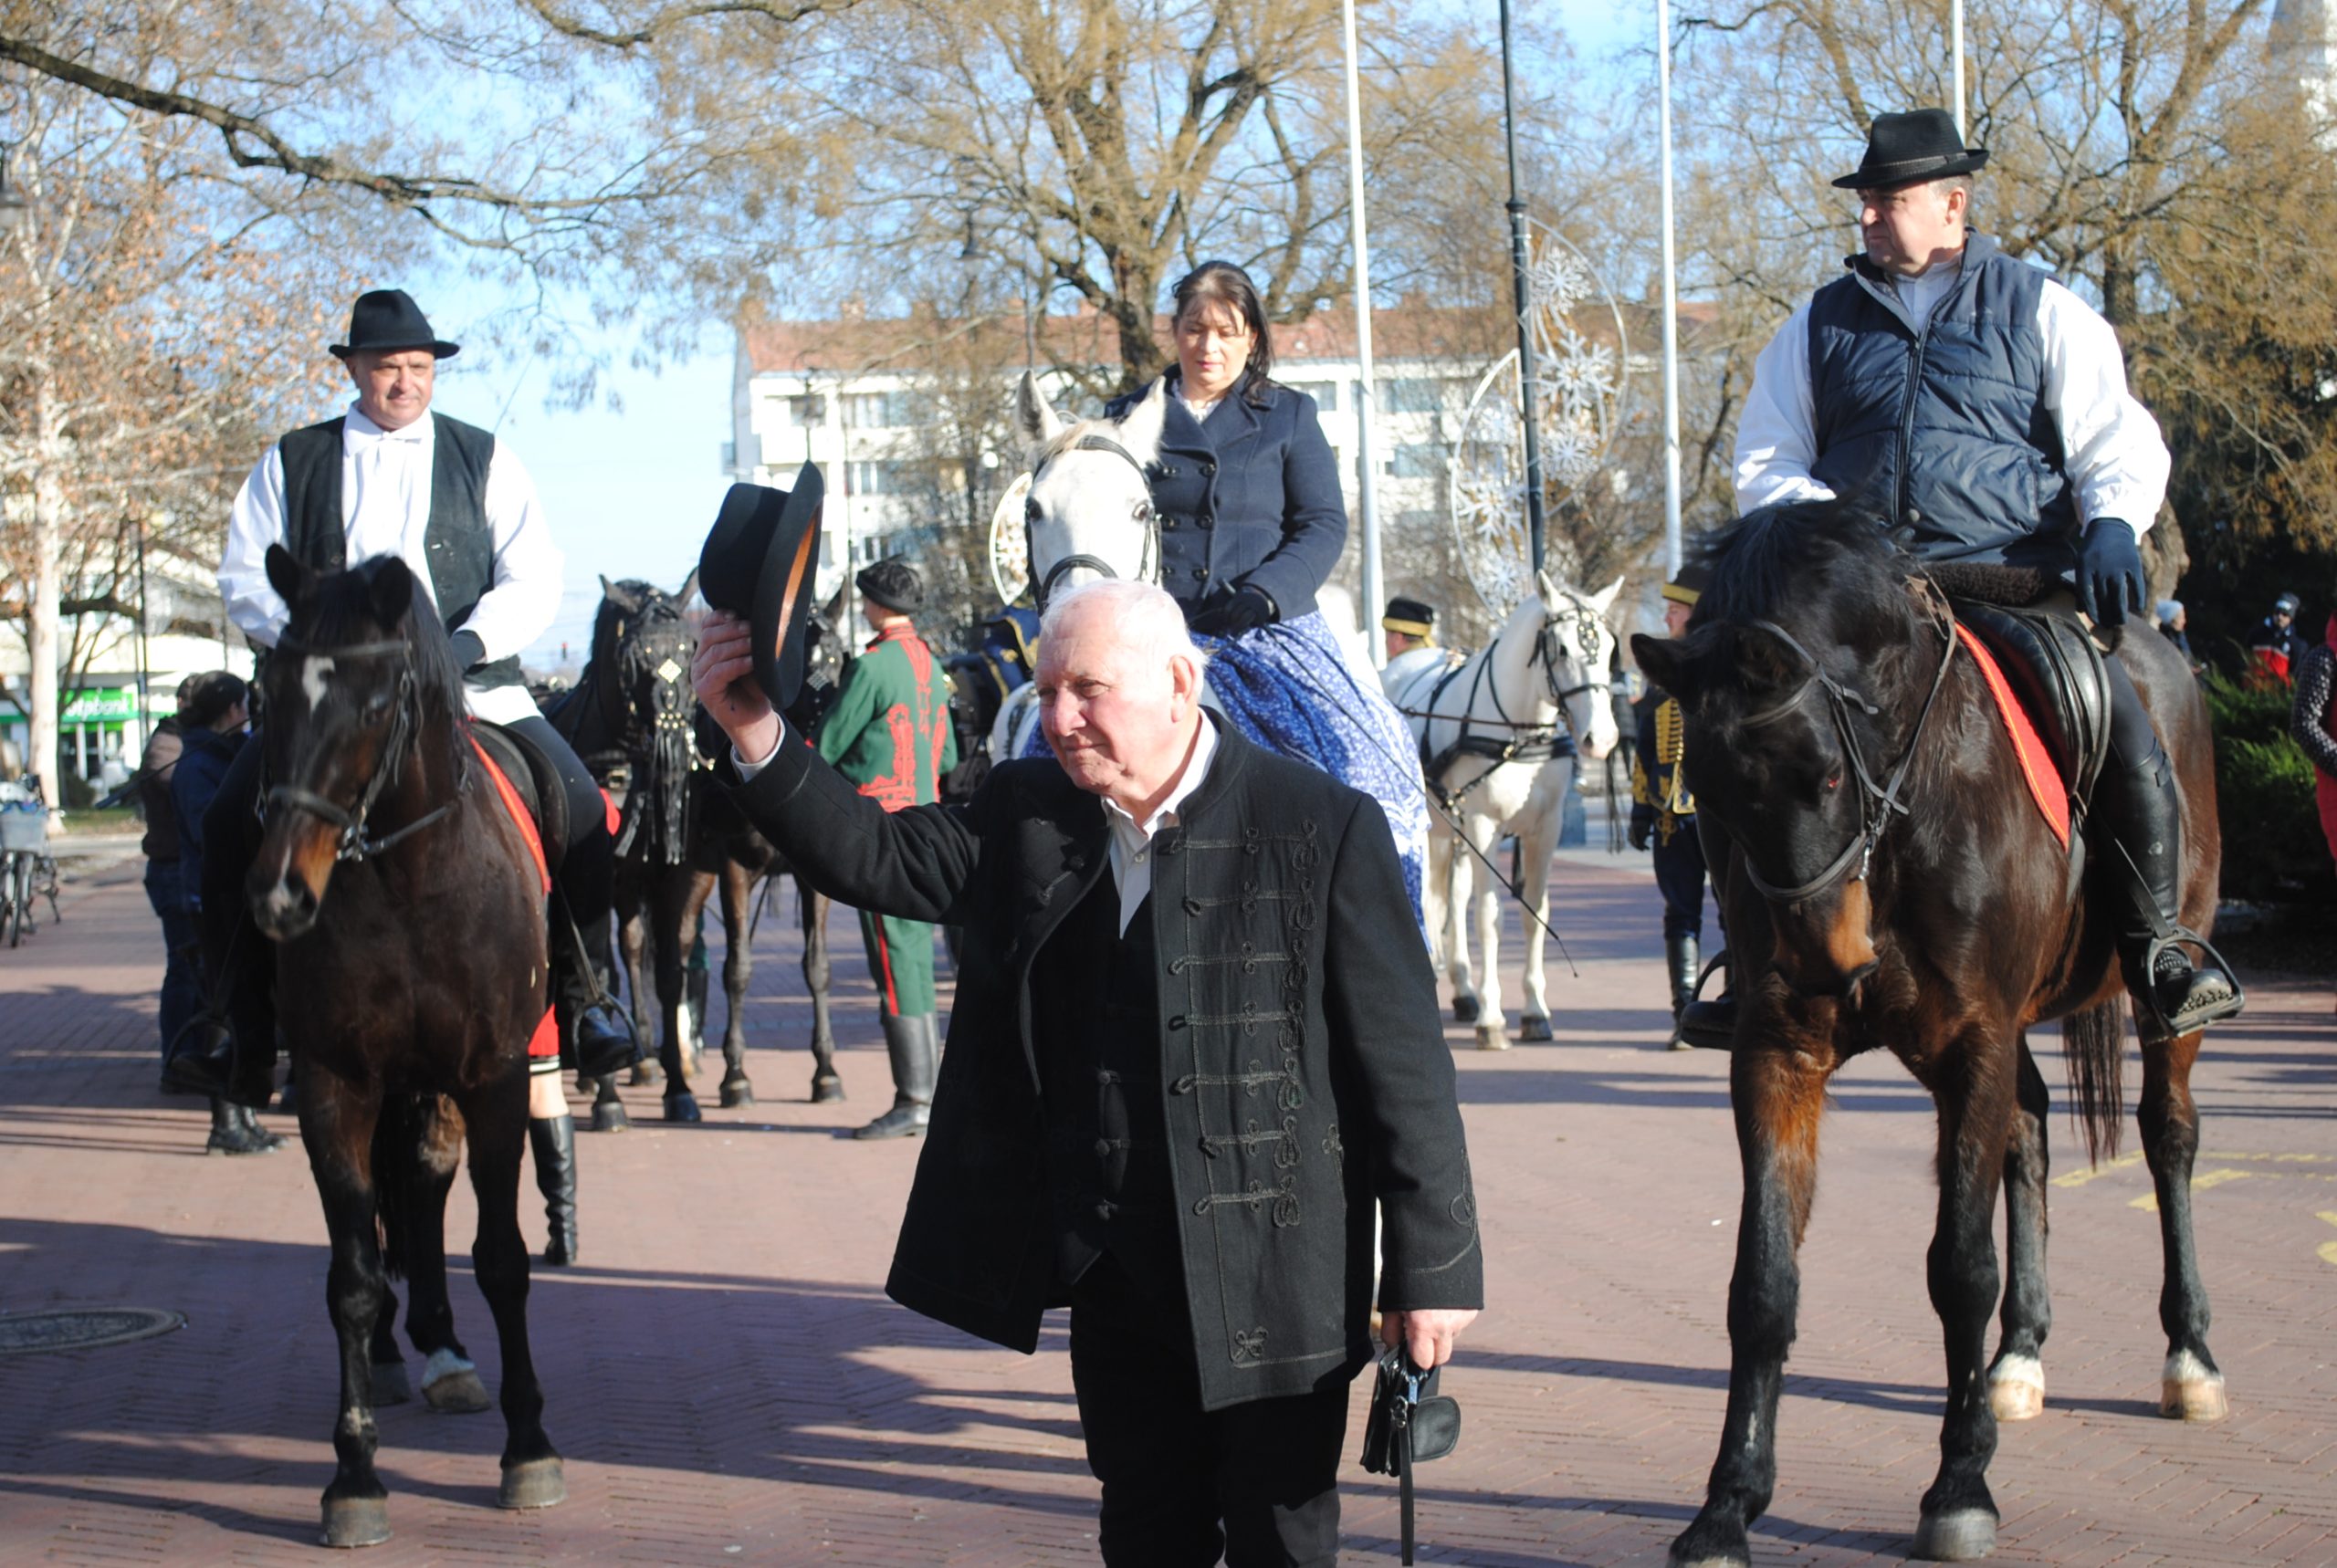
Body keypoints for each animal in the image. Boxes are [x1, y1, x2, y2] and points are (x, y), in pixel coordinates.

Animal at [247, 549, 561, 1542]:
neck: (406, 882)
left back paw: (446, 1351)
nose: (280, 893)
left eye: (376, 703)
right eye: (271, 691)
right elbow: (348, 1274)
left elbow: (502, 1256)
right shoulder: (333, 1085)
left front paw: (528, 1446)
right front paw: (353, 1474)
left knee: (422, 1185)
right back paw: (397, 1350)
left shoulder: (495, 1076)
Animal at [1383, 570, 1626, 1047]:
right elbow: (1489, 918)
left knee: (1452, 898)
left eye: (1609, 649)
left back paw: (1462, 990)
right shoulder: (1483, 826)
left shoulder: (1545, 830)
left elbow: (1535, 913)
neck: (1518, 731)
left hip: (1451, 832)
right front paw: (1492, 1018)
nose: (1602, 739)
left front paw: (1534, 1011)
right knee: (1434, 898)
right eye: (1561, 649)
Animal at [1626, 509, 2225, 1561]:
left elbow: (1959, 1267)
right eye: (1708, 790)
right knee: (2027, 1131)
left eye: (1824, 770)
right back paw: (2018, 1356)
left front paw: (1958, 1484)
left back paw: (2188, 1354)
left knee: (2168, 1137)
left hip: (2159, 996)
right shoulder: (1780, 1054)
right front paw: (1728, 1500)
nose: (1826, 961)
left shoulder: (1971, 1041)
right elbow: (1763, 1281)